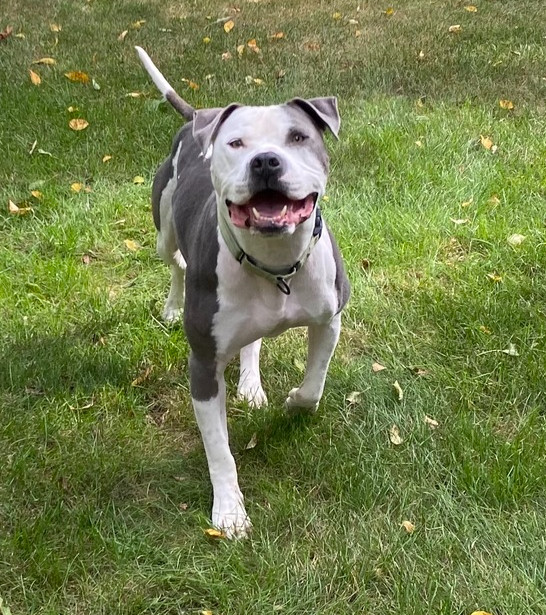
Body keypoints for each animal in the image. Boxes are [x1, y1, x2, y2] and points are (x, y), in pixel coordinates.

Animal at [136, 48, 348, 540]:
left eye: (298, 137)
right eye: (235, 144)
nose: (266, 161)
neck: (275, 263)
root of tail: (196, 118)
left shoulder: (330, 319)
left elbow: (314, 384)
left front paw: (294, 404)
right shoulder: (202, 364)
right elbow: (219, 449)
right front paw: (229, 511)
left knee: (251, 341)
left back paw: (251, 385)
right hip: (164, 231)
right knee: (174, 263)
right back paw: (171, 306)